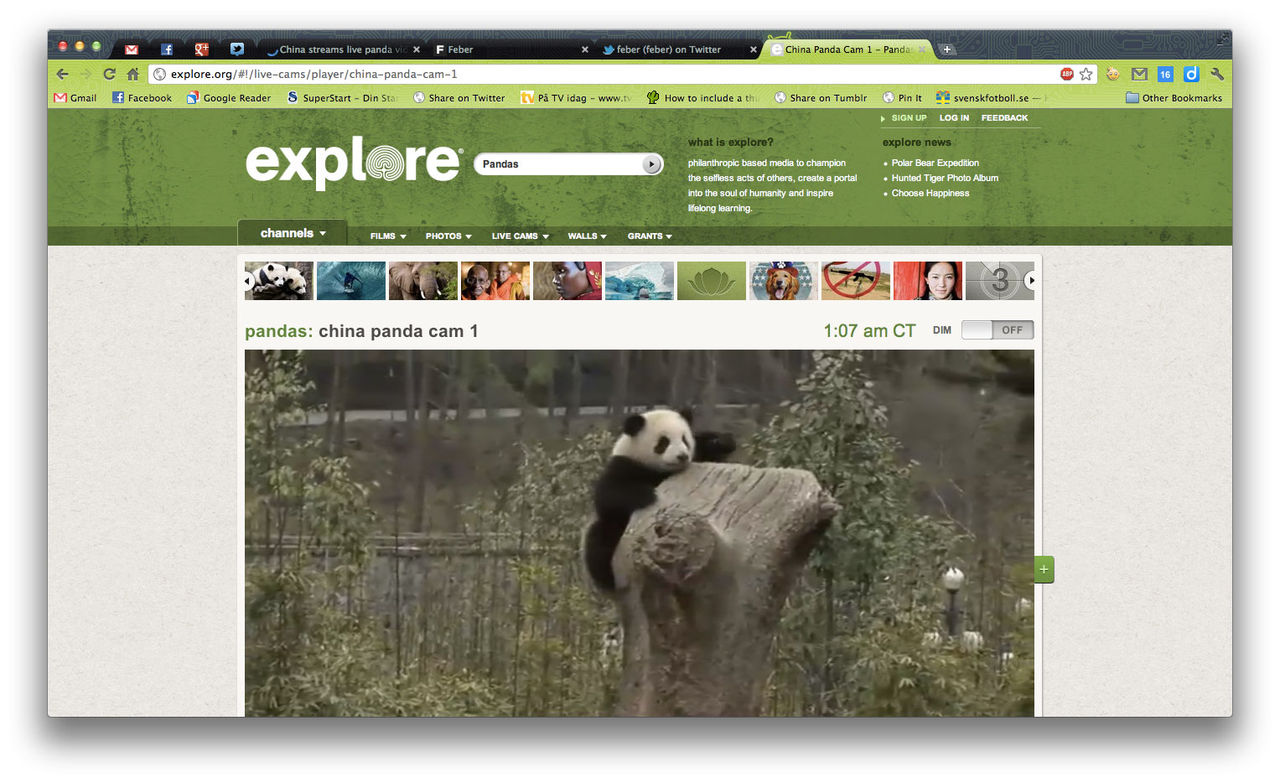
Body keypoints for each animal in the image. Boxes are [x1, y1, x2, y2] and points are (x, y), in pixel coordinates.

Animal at [582, 408, 736, 593]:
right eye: (663, 442)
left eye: (684, 439)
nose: (682, 456)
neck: (661, 471)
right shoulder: (624, 465)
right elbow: (608, 495)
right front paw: (647, 495)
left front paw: (720, 441)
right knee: (599, 541)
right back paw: (606, 579)